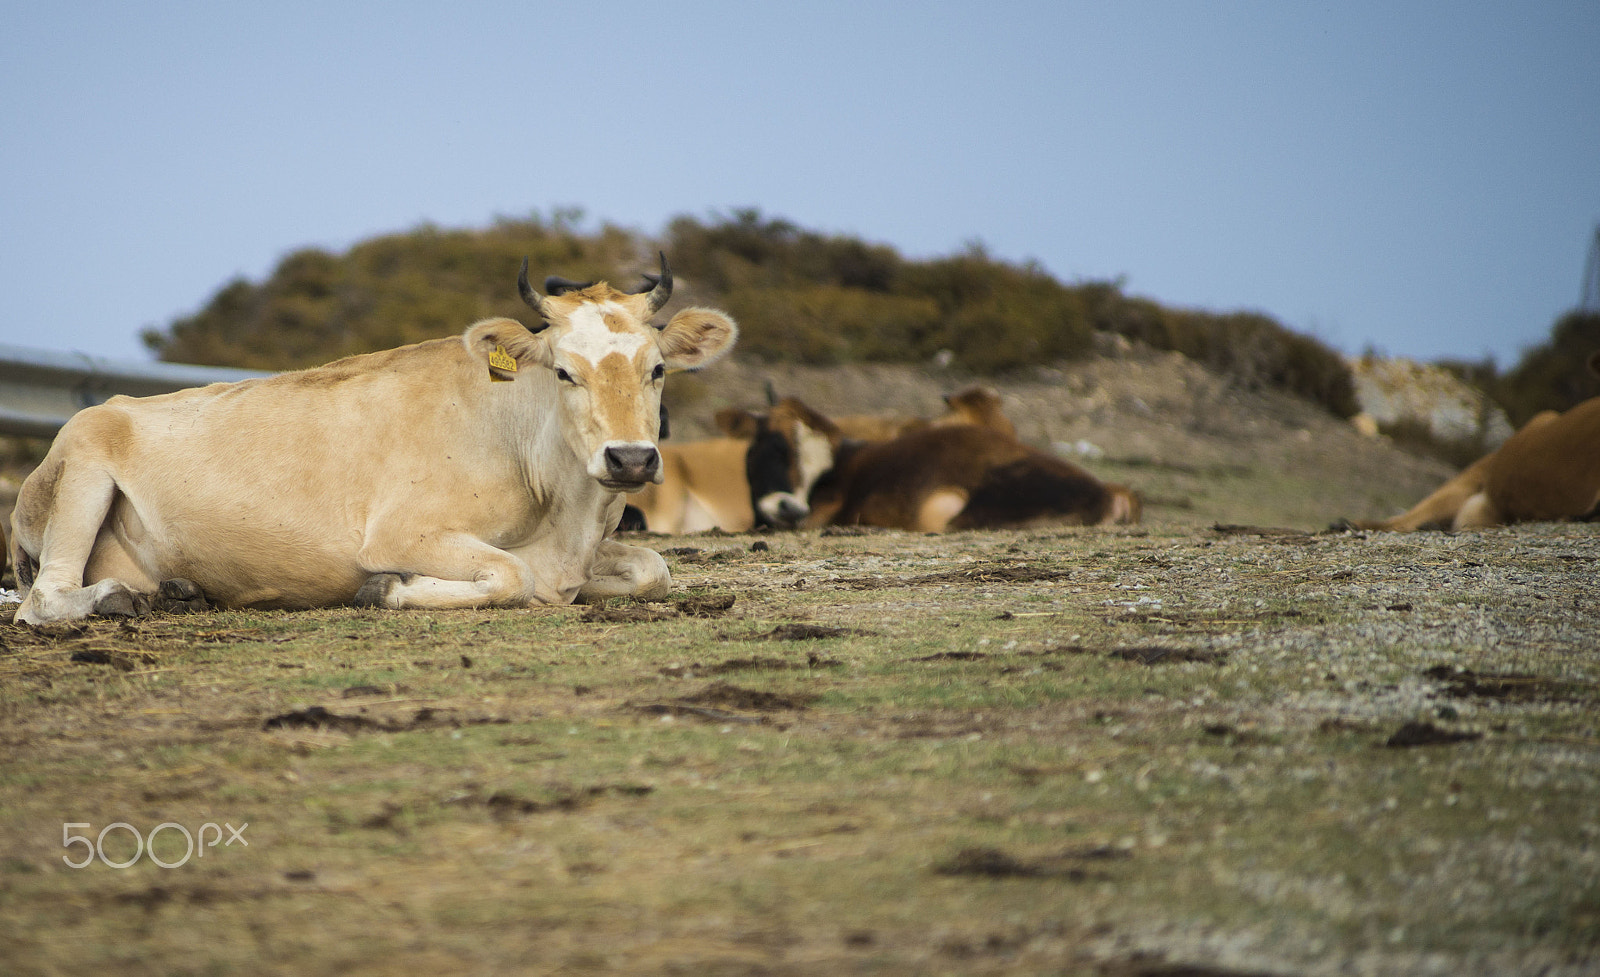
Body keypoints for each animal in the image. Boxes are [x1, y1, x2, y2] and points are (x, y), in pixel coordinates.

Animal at [10, 257, 736, 626]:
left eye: (658, 369)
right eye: (564, 370)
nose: (631, 458)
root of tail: (111, 405)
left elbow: (654, 567)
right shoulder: (401, 532)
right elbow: (510, 573)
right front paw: (385, 589)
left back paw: (177, 590)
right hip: (84, 468)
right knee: (44, 598)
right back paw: (117, 599)